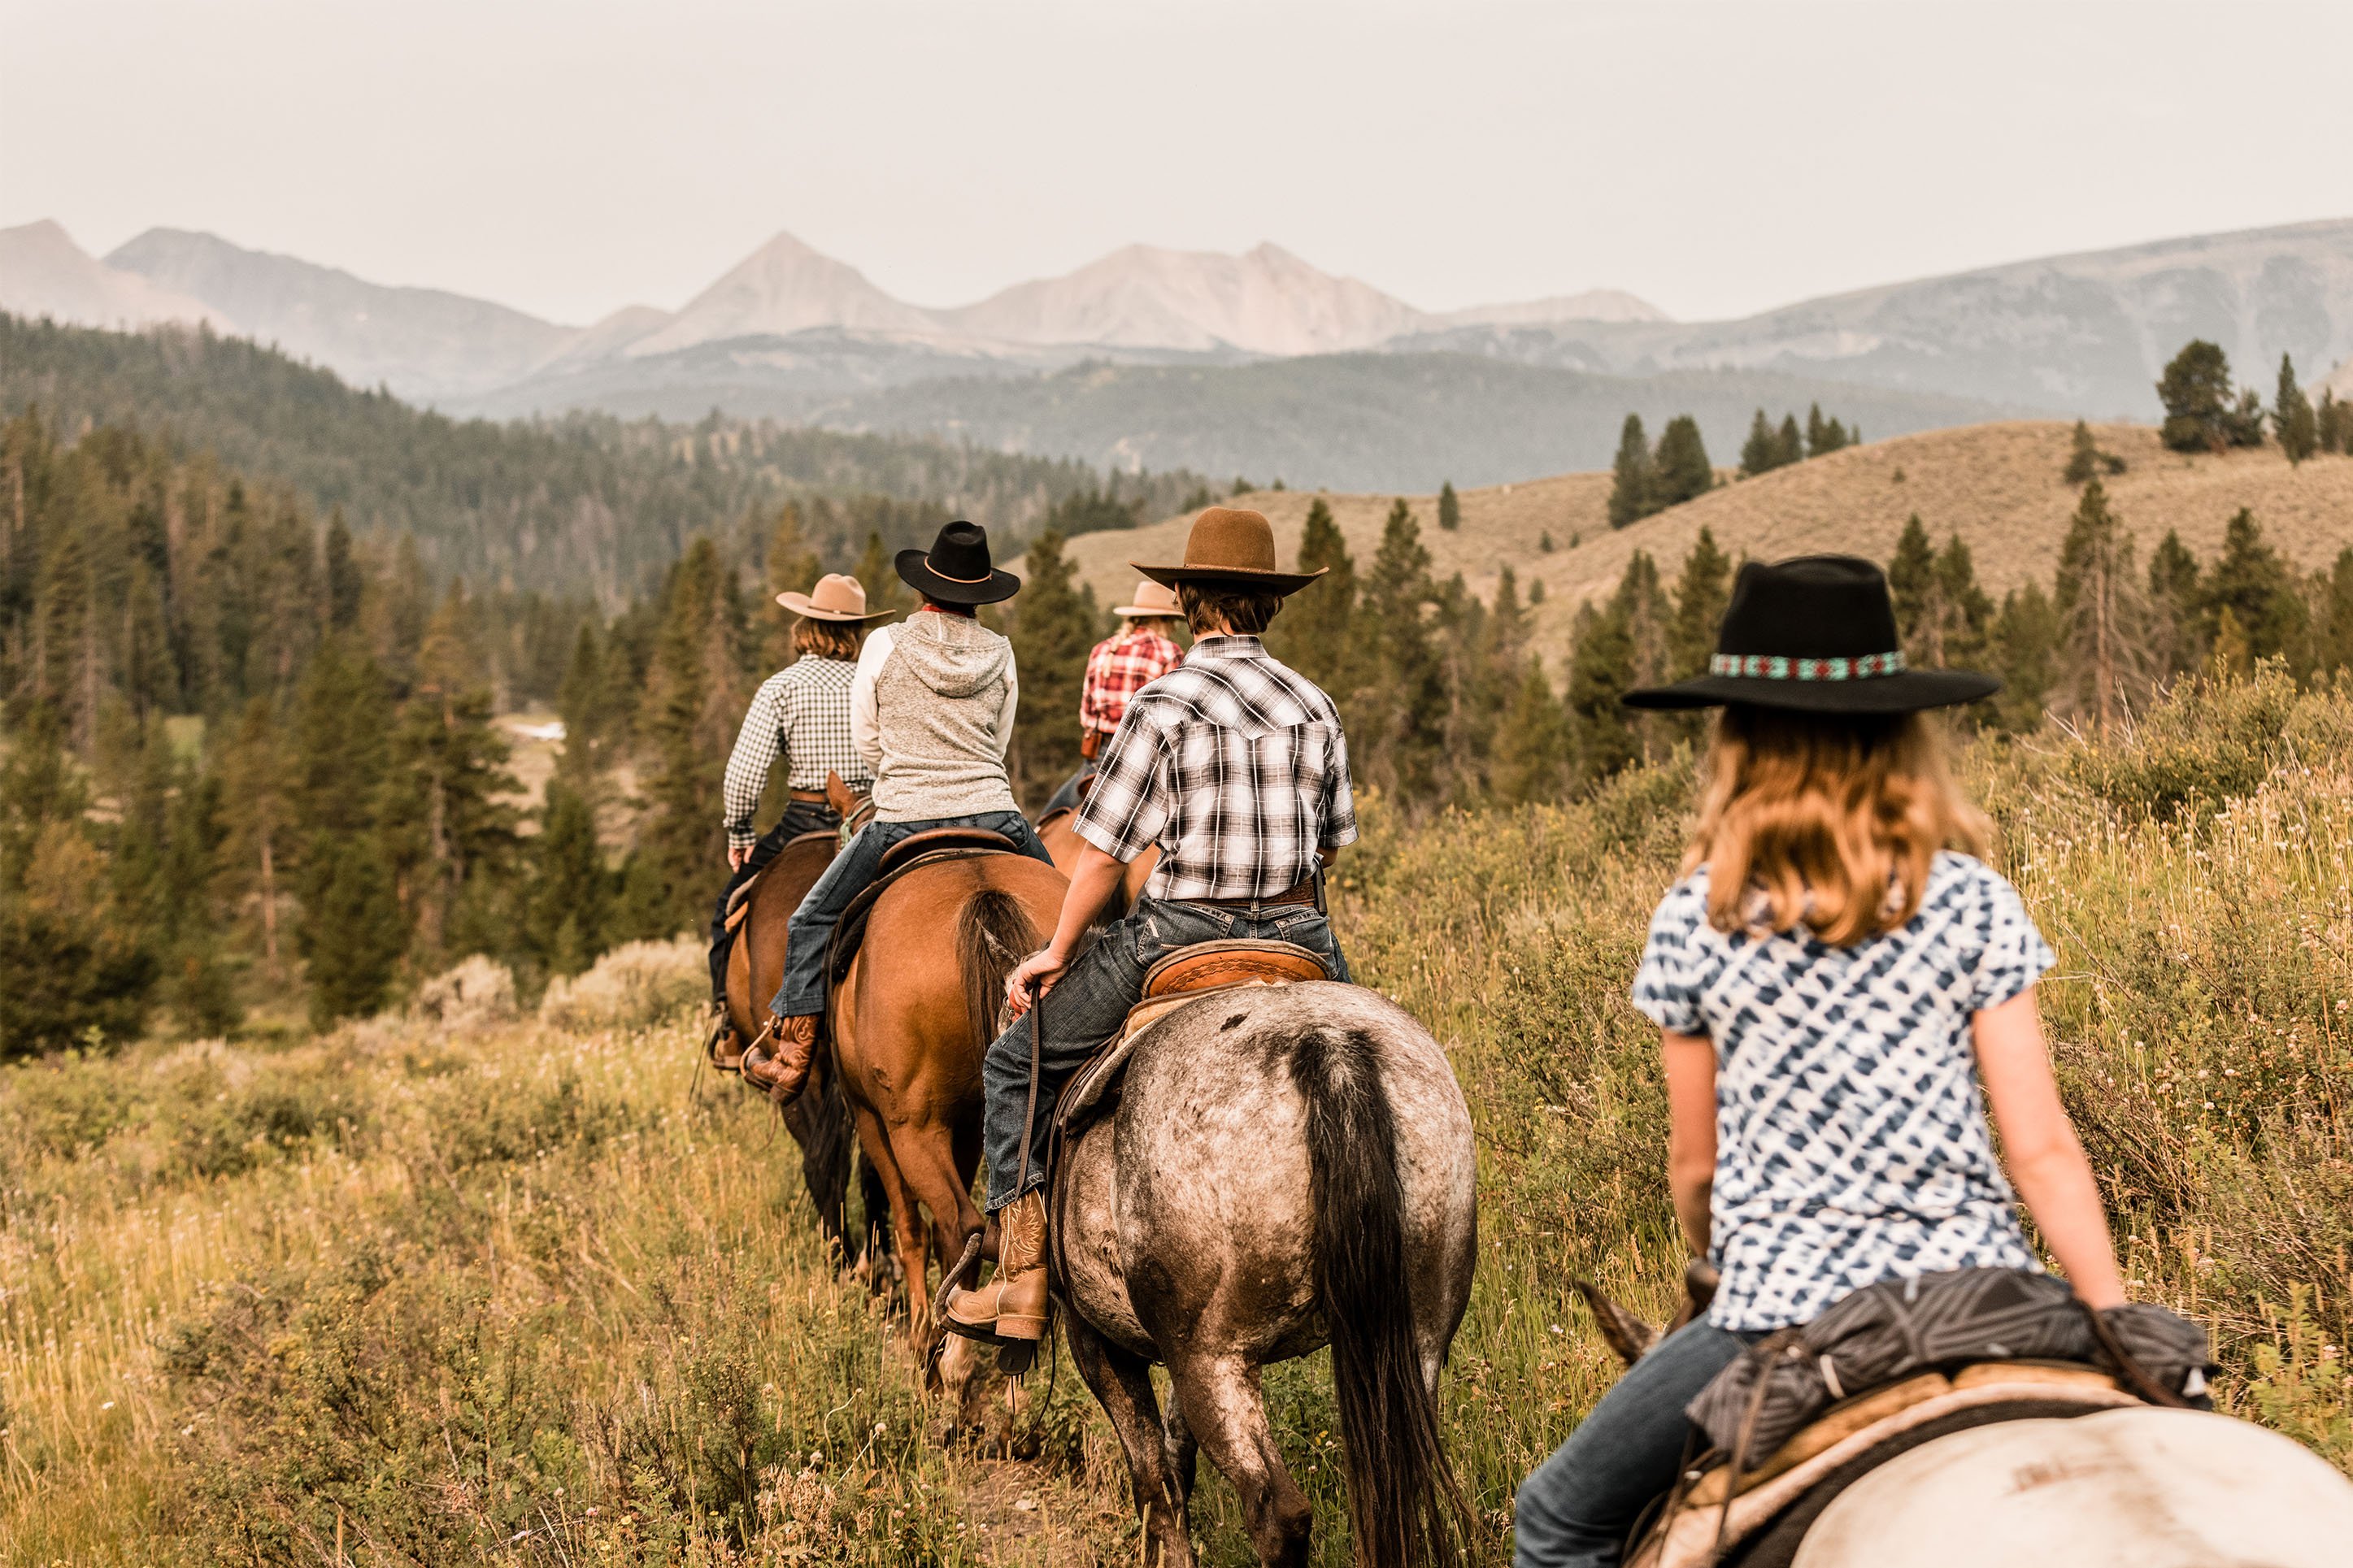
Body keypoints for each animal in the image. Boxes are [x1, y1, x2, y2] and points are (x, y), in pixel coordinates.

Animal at [814, 780, 1063, 1392]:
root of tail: (980, 893)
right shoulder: (971, 1123)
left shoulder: (873, 1120)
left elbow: (908, 1225)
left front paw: (920, 1337)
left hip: (912, 1128)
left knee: (959, 1224)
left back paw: (950, 1361)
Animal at [1059, 987, 1477, 1561]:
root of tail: (1330, 1050)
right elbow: (1175, 1455)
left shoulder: (1096, 1342)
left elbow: (1154, 1482)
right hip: (1420, 1338)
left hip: (1213, 1361)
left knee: (1277, 1514)